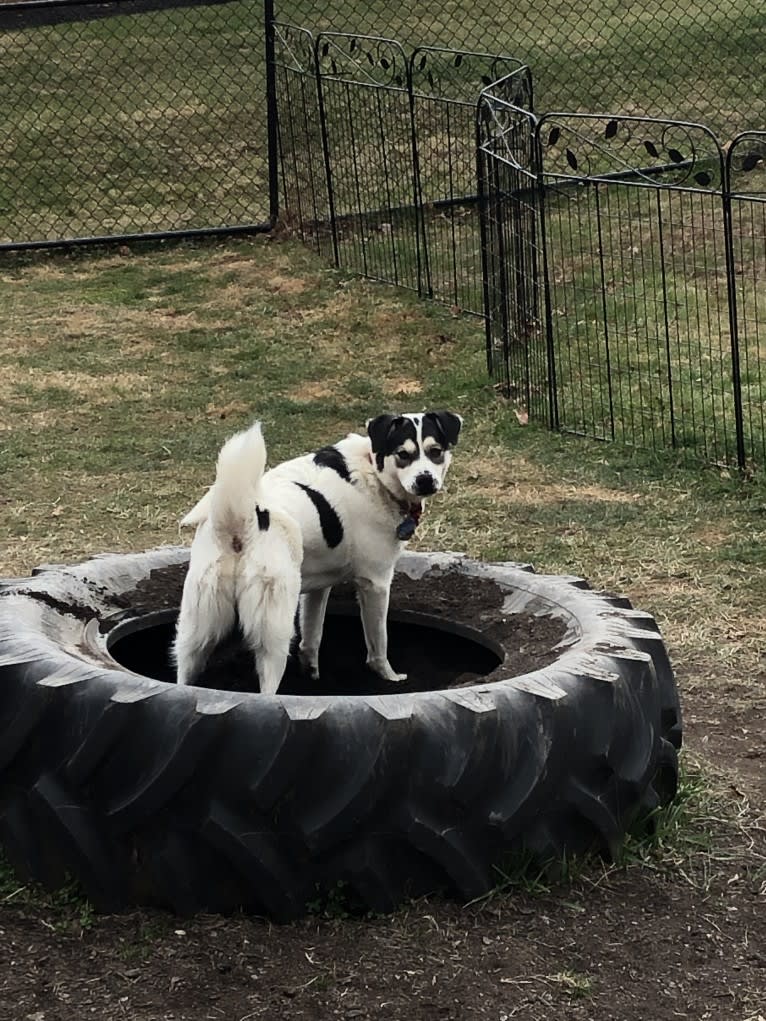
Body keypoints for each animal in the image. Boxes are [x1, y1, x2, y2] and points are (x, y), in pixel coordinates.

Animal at [173, 412, 461, 694]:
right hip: (274, 632)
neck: (372, 470)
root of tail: (241, 521)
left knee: (183, 678)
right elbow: (378, 644)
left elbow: (311, 638)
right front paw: (389, 679)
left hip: (197, 629)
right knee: (267, 690)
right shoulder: (375, 584)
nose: (425, 480)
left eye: (435, 451)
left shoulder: (317, 589)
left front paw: (312, 676)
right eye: (403, 454)